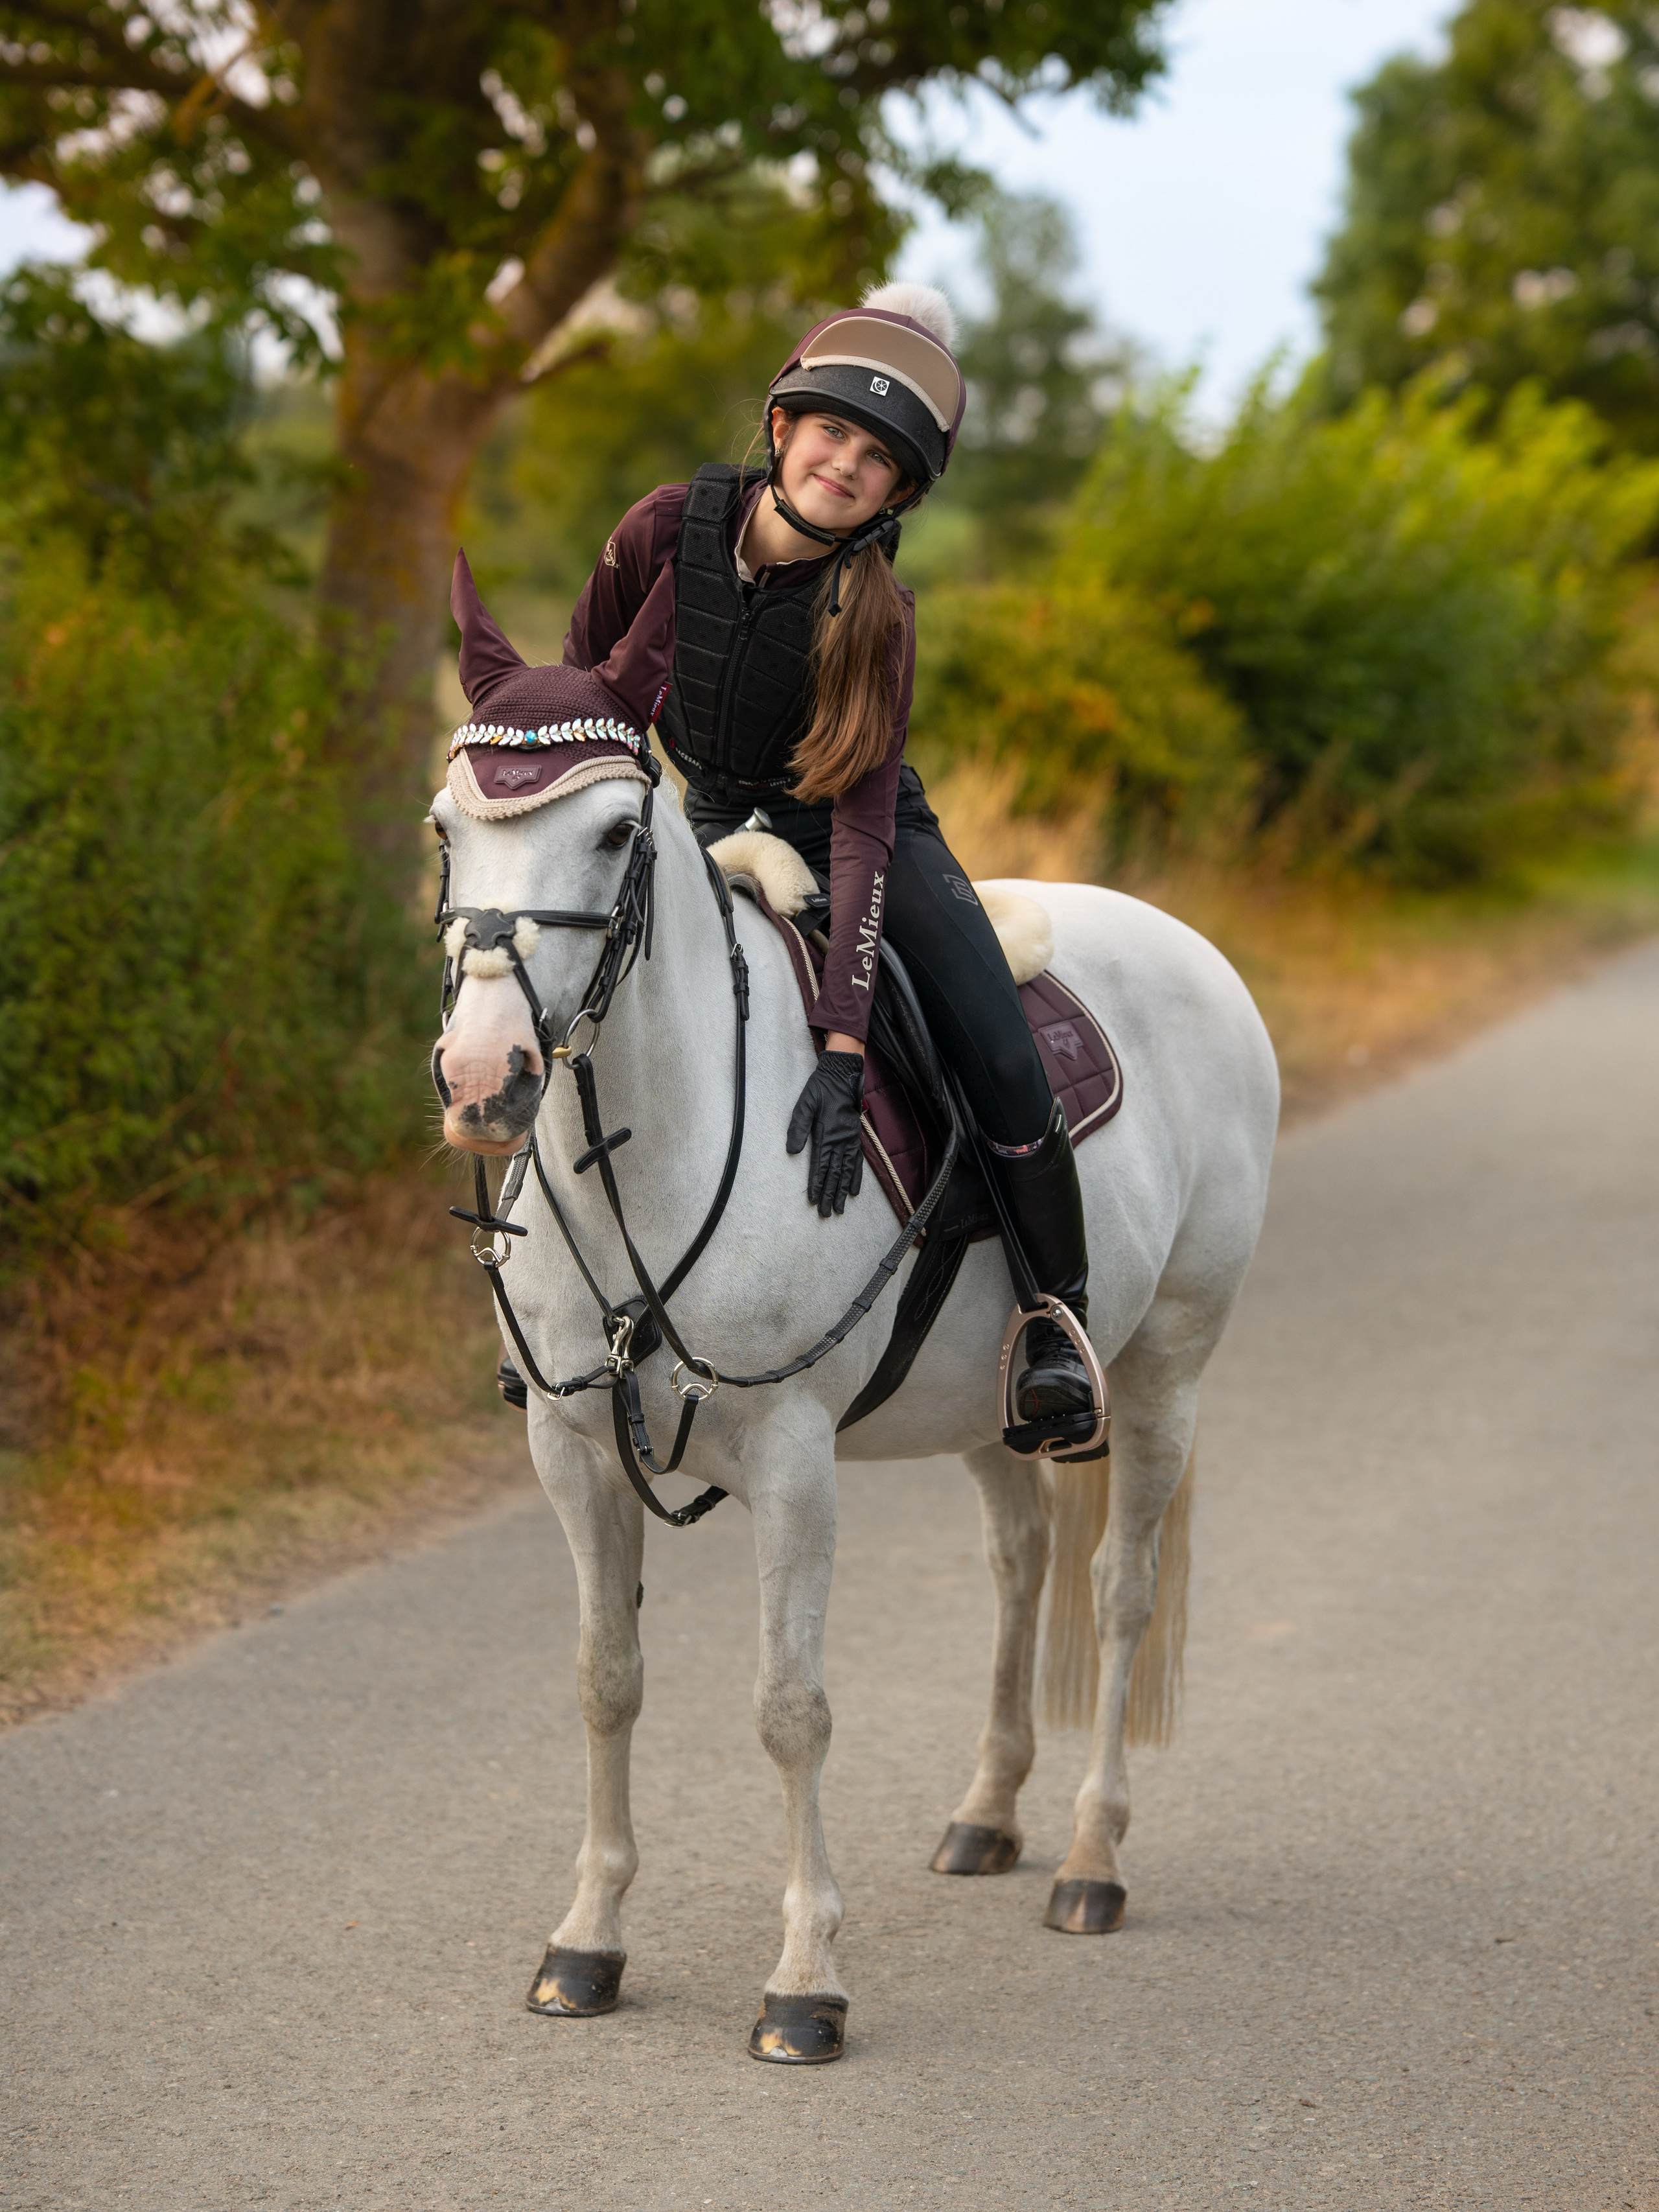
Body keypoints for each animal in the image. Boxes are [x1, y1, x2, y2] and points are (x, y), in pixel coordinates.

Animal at [427, 760, 1279, 2063]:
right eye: (445, 831)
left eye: (616, 832)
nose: (484, 1080)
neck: (661, 1144)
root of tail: (1191, 946)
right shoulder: (570, 1453)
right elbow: (605, 1679)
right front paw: (586, 1943)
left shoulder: (792, 1463)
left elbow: (791, 1709)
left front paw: (805, 1983)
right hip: (990, 1410)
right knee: (1020, 1556)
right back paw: (988, 1812)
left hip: (1164, 1371)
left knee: (1117, 1592)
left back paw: (1091, 1860)